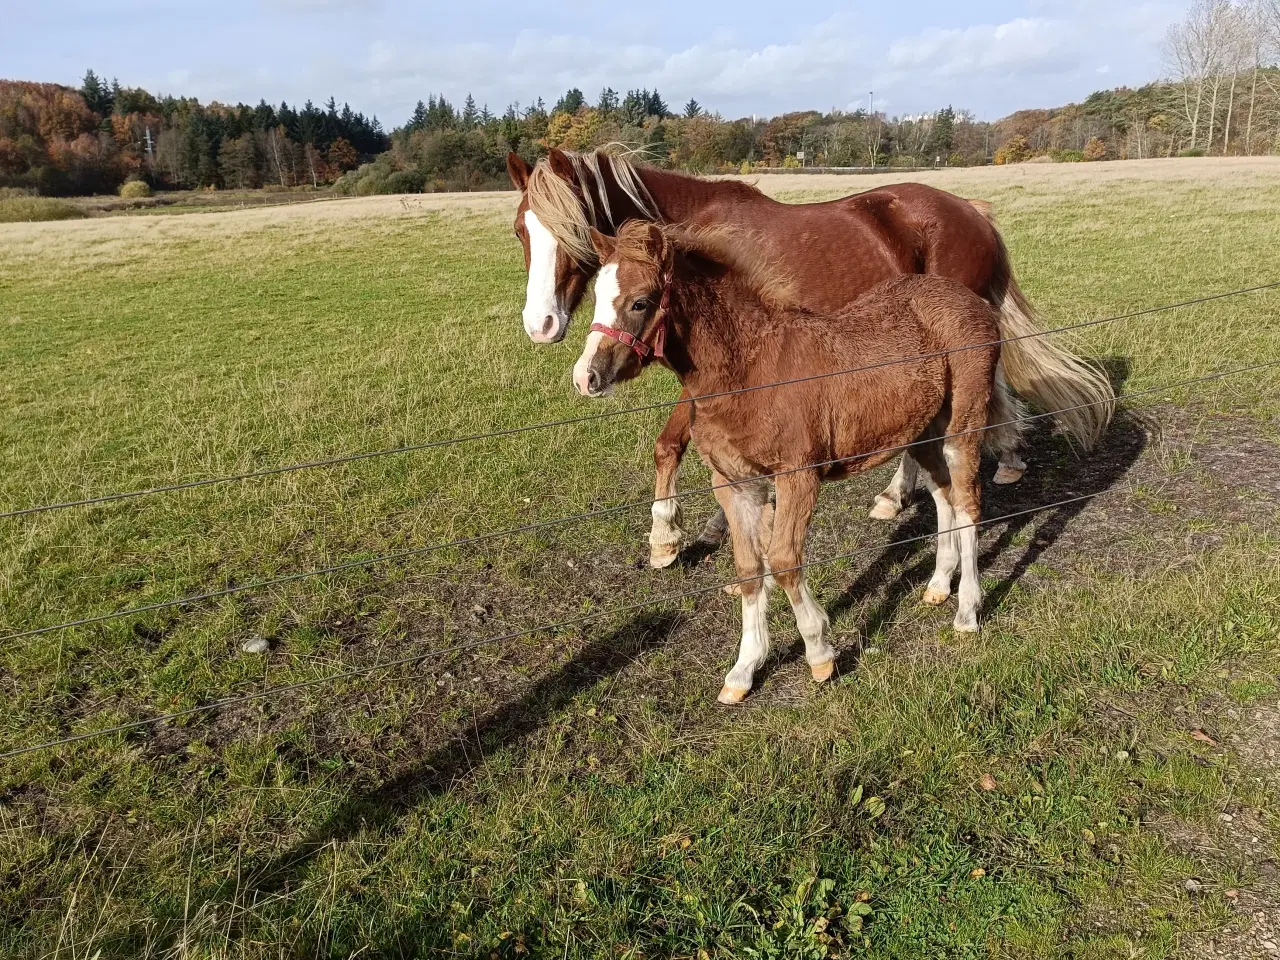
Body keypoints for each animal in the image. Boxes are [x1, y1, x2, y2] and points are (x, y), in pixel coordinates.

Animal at [576, 225, 1034, 706]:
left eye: (640, 301)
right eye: (596, 295)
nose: (586, 377)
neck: (749, 369)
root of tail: (972, 301)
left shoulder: (797, 477)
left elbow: (782, 559)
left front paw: (819, 652)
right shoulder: (734, 484)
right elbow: (749, 568)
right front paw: (743, 670)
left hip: (962, 428)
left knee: (968, 505)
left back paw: (967, 610)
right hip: (924, 432)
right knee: (944, 497)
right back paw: (938, 585)